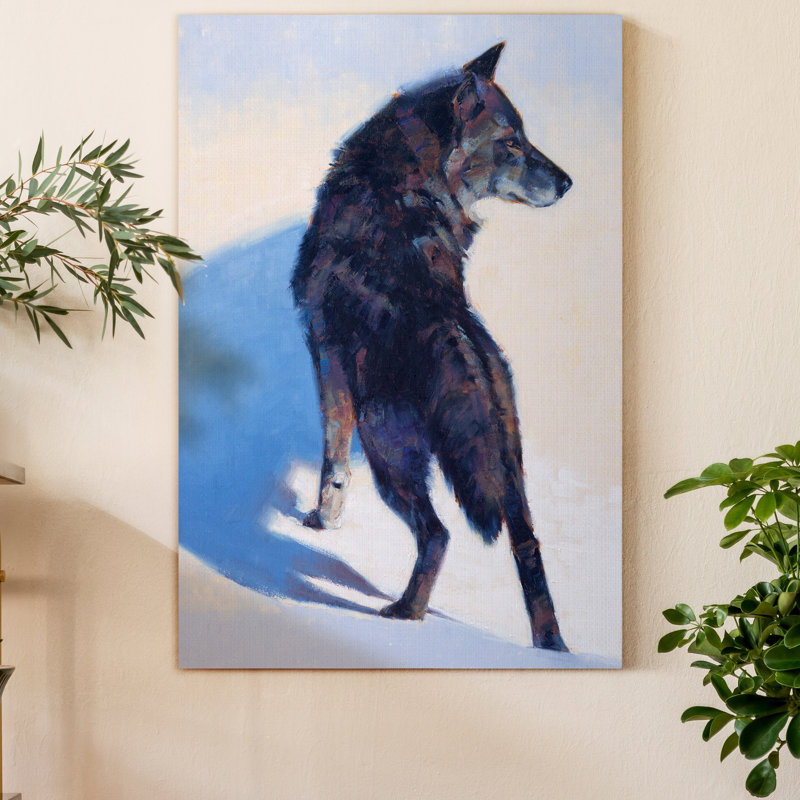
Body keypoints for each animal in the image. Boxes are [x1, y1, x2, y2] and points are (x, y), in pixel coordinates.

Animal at [291, 43, 572, 650]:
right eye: (512, 141)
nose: (567, 183)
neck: (403, 178)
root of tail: (459, 334)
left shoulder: (326, 354)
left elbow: (332, 459)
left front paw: (324, 520)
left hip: (388, 451)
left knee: (438, 534)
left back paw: (405, 613)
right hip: (510, 471)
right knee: (528, 549)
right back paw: (553, 649)